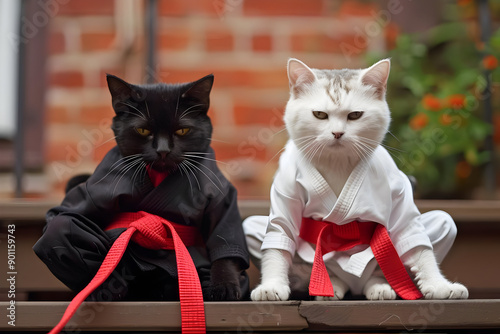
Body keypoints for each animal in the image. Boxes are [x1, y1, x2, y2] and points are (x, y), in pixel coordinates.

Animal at [33, 74, 248, 302]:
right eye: (143, 130)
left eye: (182, 130)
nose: (163, 150)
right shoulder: (94, 190)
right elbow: (62, 215)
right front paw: (102, 285)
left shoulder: (221, 196)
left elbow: (225, 243)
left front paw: (224, 286)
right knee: (61, 229)